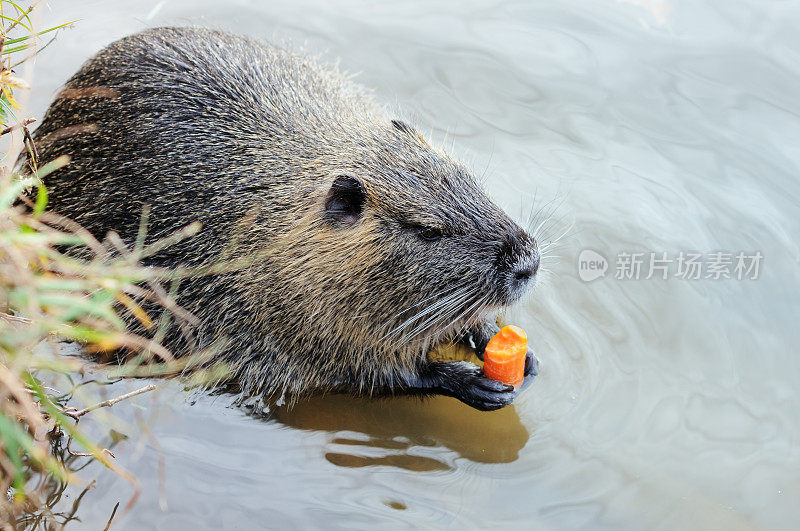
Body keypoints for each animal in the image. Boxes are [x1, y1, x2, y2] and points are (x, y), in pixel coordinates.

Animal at [31, 27, 544, 412]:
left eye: (468, 178)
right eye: (426, 230)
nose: (527, 262)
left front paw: (503, 343)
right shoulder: (268, 320)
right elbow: (369, 374)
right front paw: (472, 382)